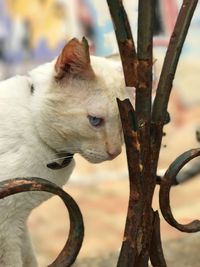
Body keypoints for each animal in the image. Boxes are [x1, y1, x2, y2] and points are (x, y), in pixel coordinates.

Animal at [0, 38, 128, 267]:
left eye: (124, 122)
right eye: (95, 120)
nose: (115, 152)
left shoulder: (19, 222)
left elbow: (29, 259)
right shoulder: (6, 227)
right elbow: (14, 261)